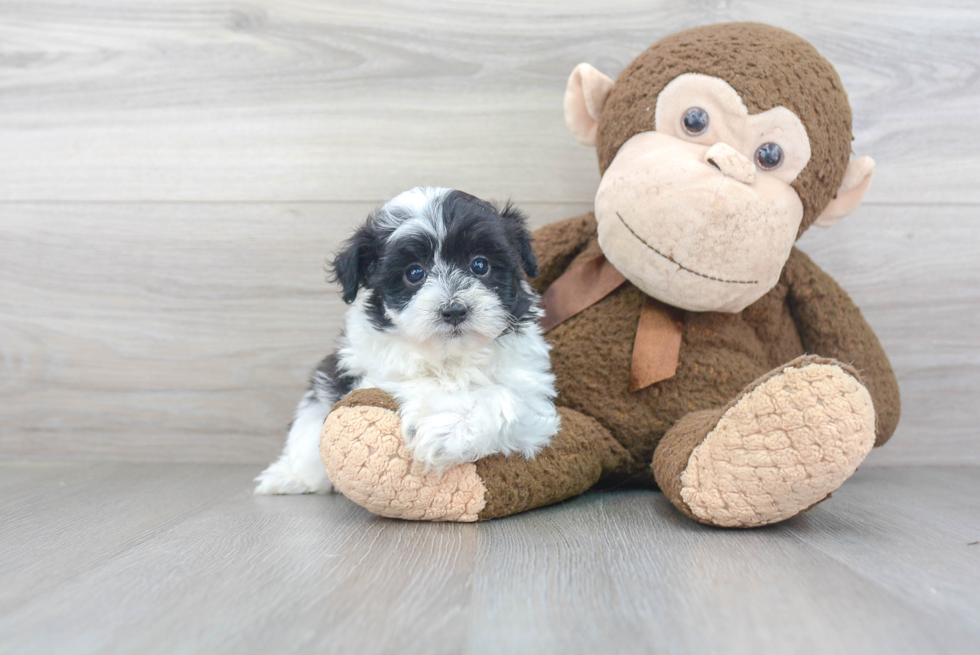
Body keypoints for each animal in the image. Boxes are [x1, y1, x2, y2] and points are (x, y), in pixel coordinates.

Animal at [253, 187, 560, 494]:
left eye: (480, 265)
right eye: (414, 273)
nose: (454, 310)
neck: (450, 355)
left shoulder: (532, 396)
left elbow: (503, 395)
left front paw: (453, 428)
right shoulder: (367, 371)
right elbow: (412, 383)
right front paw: (450, 418)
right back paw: (290, 476)